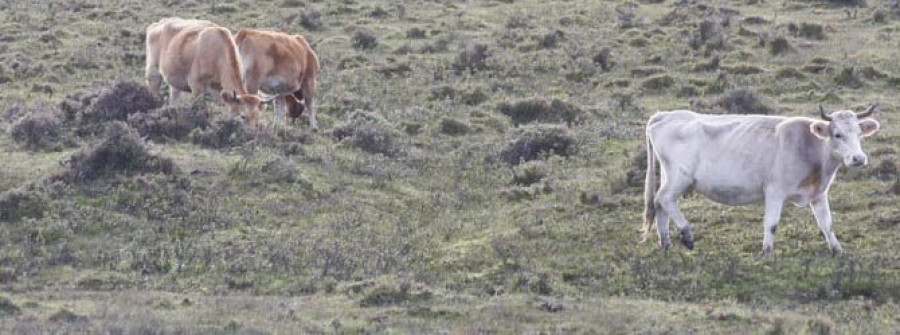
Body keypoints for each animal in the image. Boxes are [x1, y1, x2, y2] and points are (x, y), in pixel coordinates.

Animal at [644, 105, 884, 258]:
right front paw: (767, 253)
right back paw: (686, 234)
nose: (858, 158)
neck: (808, 146)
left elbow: (827, 224)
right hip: (679, 177)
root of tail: (663, 115)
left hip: (668, 176)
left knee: (661, 204)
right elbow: (772, 224)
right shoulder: (775, 190)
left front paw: (837, 250)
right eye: (837, 134)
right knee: (664, 199)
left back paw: (665, 244)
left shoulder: (818, 194)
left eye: (859, 133)